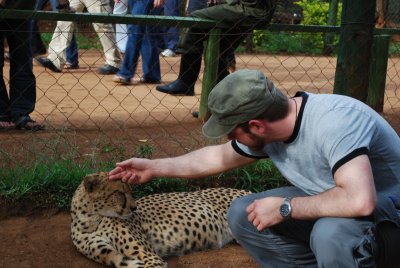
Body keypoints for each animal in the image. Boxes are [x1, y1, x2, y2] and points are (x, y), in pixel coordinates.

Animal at [70, 173, 248, 266]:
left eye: (130, 191)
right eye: (120, 193)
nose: (134, 208)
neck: (91, 220)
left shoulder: (149, 256)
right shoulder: (116, 257)